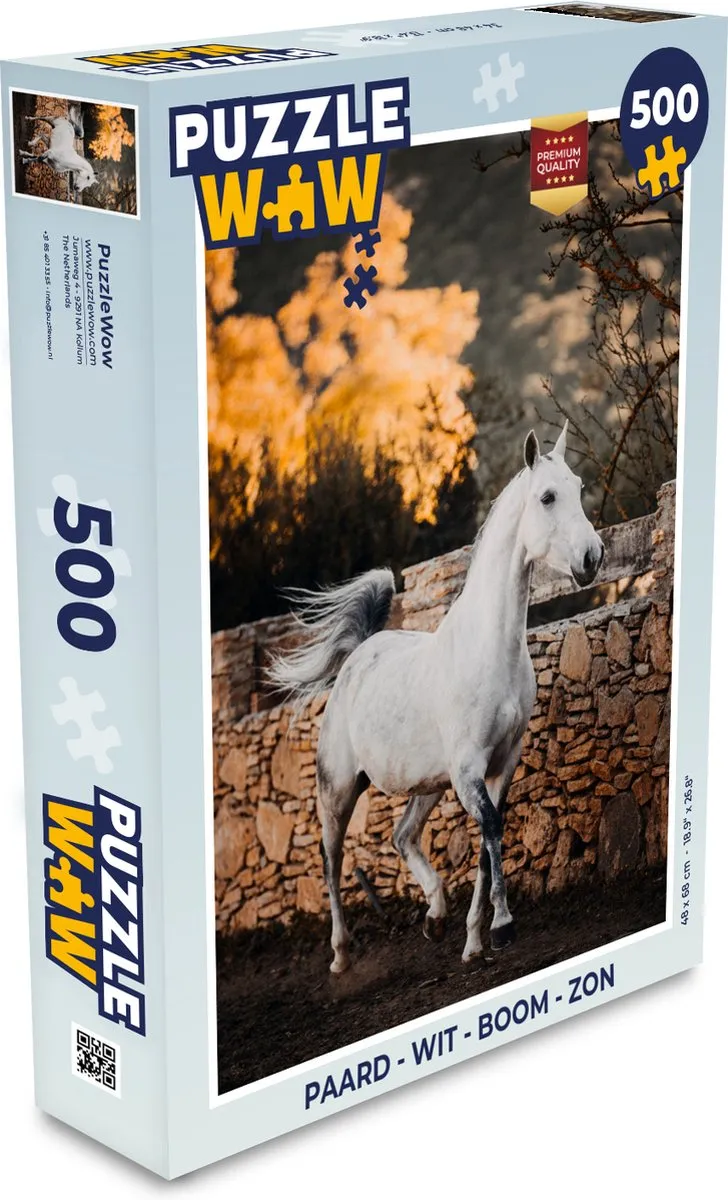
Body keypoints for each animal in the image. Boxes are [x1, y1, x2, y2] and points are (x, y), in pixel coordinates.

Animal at [269, 423, 604, 973]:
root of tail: (357, 655)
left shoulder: (501, 763)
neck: (489, 649)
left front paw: (474, 941)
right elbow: (490, 829)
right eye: (547, 497)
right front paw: (502, 927)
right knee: (331, 856)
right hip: (338, 788)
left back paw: (435, 915)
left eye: (578, 487)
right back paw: (341, 954)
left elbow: (490, 838)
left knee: (401, 834)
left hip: (428, 783)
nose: (592, 558)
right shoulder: (469, 768)